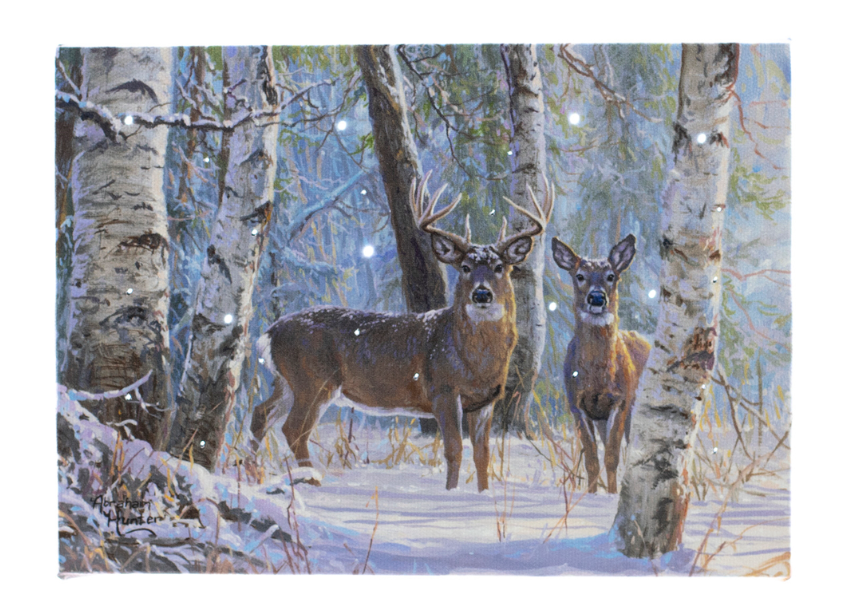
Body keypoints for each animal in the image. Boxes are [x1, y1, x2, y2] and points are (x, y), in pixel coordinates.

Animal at [252, 172, 554, 491]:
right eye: (464, 267)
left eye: (499, 266)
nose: (482, 294)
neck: (475, 361)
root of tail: (269, 333)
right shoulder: (443, 390)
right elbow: (454, 450)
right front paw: (451, 491)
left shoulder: (485, 401)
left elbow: (482, 455)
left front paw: (483, 494)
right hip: (313, 380)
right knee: (293, 429)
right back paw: (311, 480)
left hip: (286, 381)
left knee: (261, 414)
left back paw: (251, 471)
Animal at [551, 234, 651, 494]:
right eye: (579, 275)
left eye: (611, 275)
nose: (596, 298)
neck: (597, 377)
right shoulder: (577, 405)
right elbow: (592, 460)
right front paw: (592, 494)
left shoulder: (620, 401)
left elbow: (612, 457)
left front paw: (612, 494)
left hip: (634, 406)